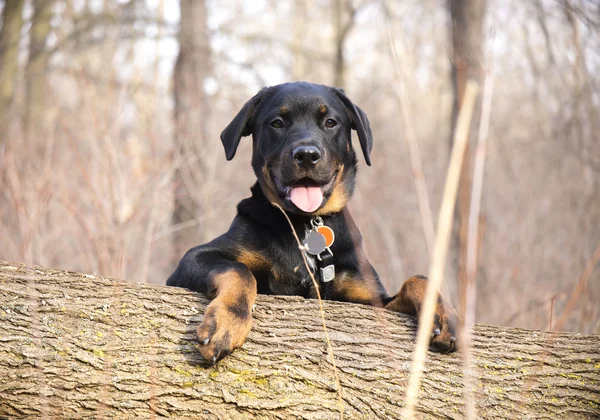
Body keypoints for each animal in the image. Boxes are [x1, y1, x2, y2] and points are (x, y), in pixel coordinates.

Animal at [166, 80, 458, 362]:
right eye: (277, 123)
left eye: (330, 122)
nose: (306, 154)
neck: (305, 225)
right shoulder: (194, 259)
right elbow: (238, 270)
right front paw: (226, 322)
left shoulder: (369, 299)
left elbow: (418, 279)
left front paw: (443, 314)